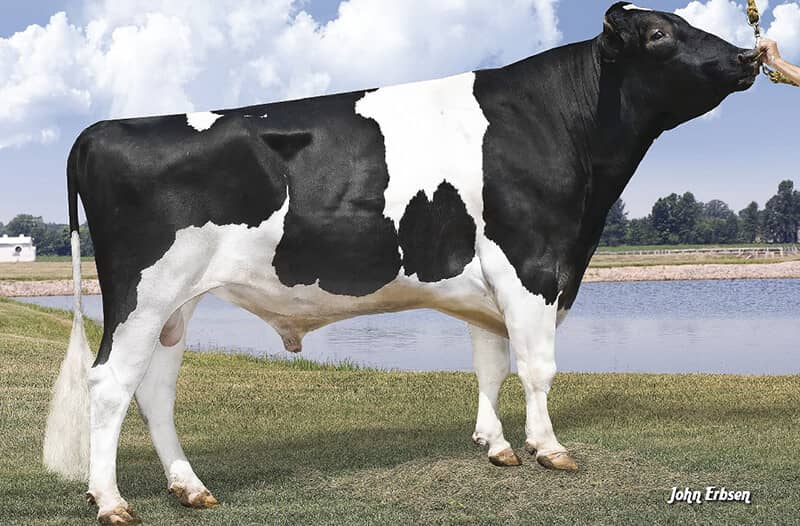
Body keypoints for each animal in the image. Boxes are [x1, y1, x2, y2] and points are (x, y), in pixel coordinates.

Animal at [43, 3, 760, 524]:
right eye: (660, 33)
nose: (748, 55)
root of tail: (101, 129)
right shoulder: (531, 265)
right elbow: (537, 367)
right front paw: (549, 448)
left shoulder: (488, 283)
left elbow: (490, 365)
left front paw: (496, 445)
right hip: (144, 291)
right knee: (110, 384)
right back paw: (111, 501)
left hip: (177, 301)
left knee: (155, 388)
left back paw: (188, 487)